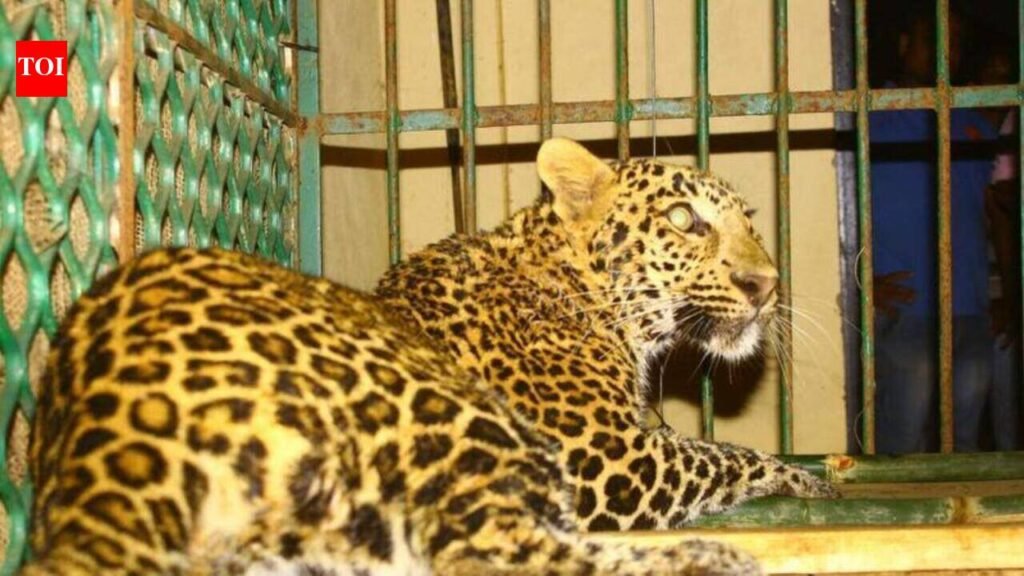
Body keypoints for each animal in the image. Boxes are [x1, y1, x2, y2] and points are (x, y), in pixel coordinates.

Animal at [24, 247, 762, 575]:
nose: (761, 286)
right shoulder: (610, 461)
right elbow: (731, 459)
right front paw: (783, 473)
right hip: (460, 421)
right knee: (497, 552)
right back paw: (708, 556)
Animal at [377, 137, 838, 533]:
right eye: (682, 218)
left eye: (749, 223)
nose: (766, 285)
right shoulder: (602, 457)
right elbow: (717, 454)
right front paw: (803, 478)